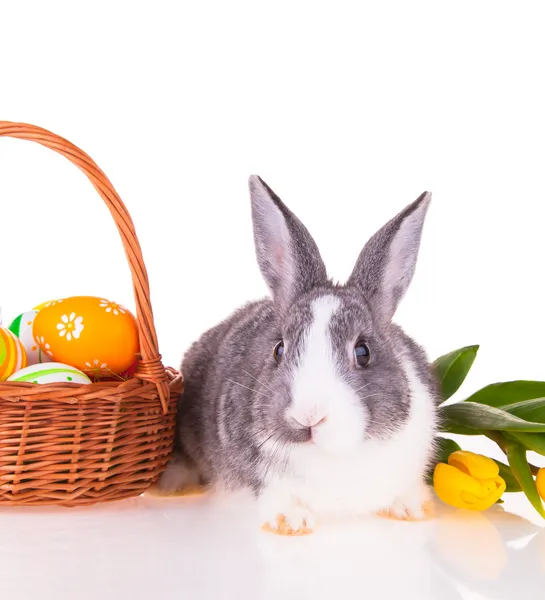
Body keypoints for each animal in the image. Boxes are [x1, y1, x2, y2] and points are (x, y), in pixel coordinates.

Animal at [157, 177, 438, 536]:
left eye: (363, 352)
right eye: (279, 349)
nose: (308, 416)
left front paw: (413, 509)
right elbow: (276, 497)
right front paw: (291, 523)